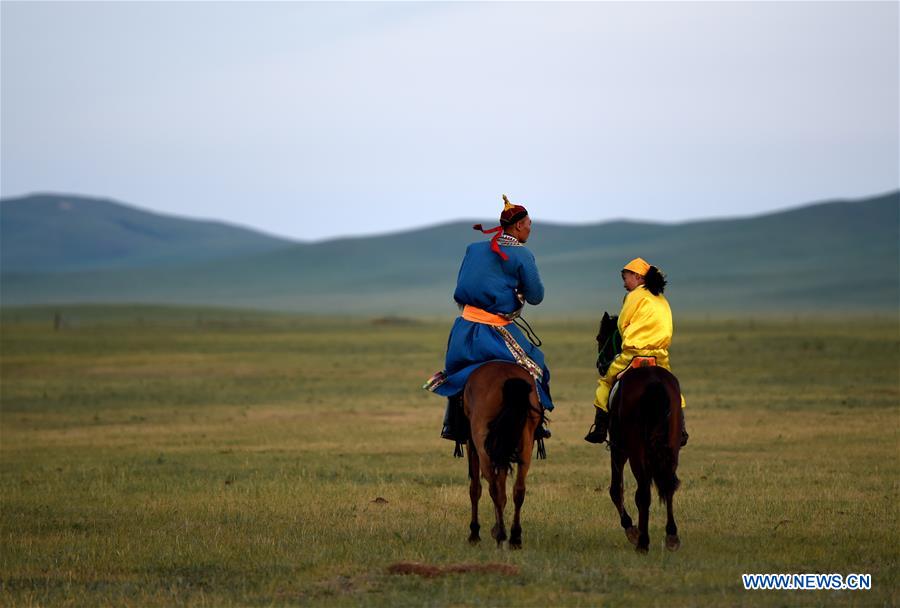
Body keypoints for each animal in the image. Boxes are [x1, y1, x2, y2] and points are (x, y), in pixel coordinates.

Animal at [464, 358, 540, 548]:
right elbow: (503, 485)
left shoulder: (472, 443)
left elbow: (475, 488)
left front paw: (474, 533)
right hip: (526, 444)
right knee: (519, 489)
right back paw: (515, 537)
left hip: (483, 446)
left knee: (492, 488)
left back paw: (500, 534)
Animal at [596, 312, 684, 552]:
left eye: (599, 337)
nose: (600, 365)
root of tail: (654, 383)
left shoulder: (618, 449)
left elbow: (615, 489)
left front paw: (631, 529)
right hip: (671, 447)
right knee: (669, 484)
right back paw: (671, 535)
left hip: (635, 450)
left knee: (643, 492)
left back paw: (643, 541)